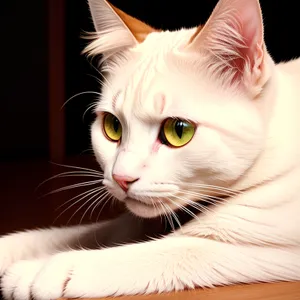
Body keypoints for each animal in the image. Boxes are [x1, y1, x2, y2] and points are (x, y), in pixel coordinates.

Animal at [0, 0, 300, 298]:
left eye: (178, 131)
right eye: (113, 126)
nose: (121, 178)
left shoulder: (259, 247)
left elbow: (170, 250)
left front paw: (40, 270)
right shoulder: (132, 221)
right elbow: (72, 234)